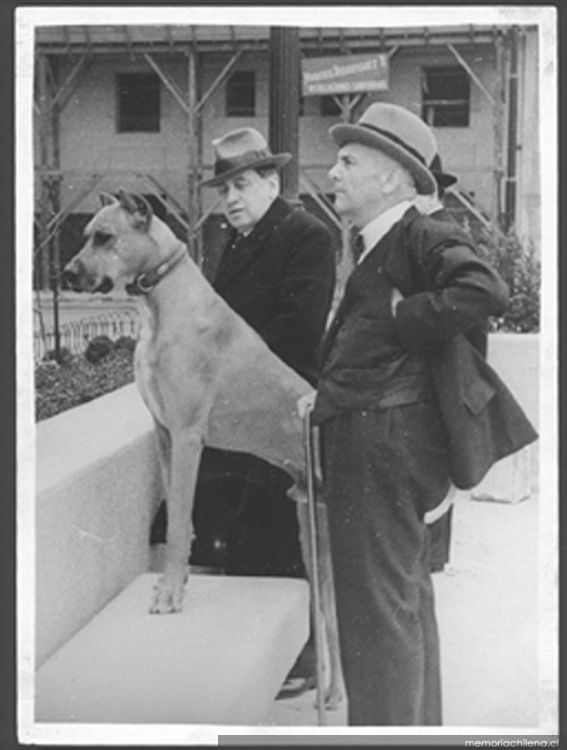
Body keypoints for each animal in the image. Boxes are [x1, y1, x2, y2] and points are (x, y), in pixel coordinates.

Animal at [65, 189, 344, 712]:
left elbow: (177, 524)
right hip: (309, 527)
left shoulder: (188, 435)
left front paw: (171, 593)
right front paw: (175, 582)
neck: (161, 300)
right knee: (327, 610)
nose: (69, 274)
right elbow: (181, 517)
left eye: (105, 237)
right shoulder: (165, 434)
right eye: (86, 233)